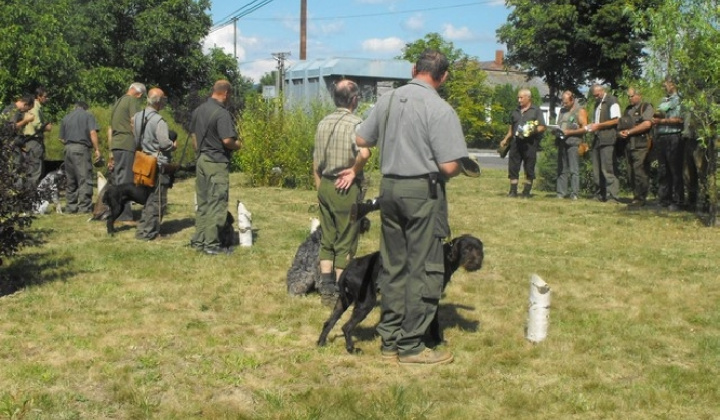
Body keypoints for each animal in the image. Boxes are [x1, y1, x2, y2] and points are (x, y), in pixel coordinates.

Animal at [316, 233, 480, 354]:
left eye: (478, 249)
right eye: (466, 249)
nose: (477, 263)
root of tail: (348, 268)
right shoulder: (432, 299)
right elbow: (433, 323)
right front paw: (437, 341)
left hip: (343, 301)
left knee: (328, 322)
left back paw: (321, 342)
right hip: (366, 303)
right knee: (346, 327)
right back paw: (351, 349)